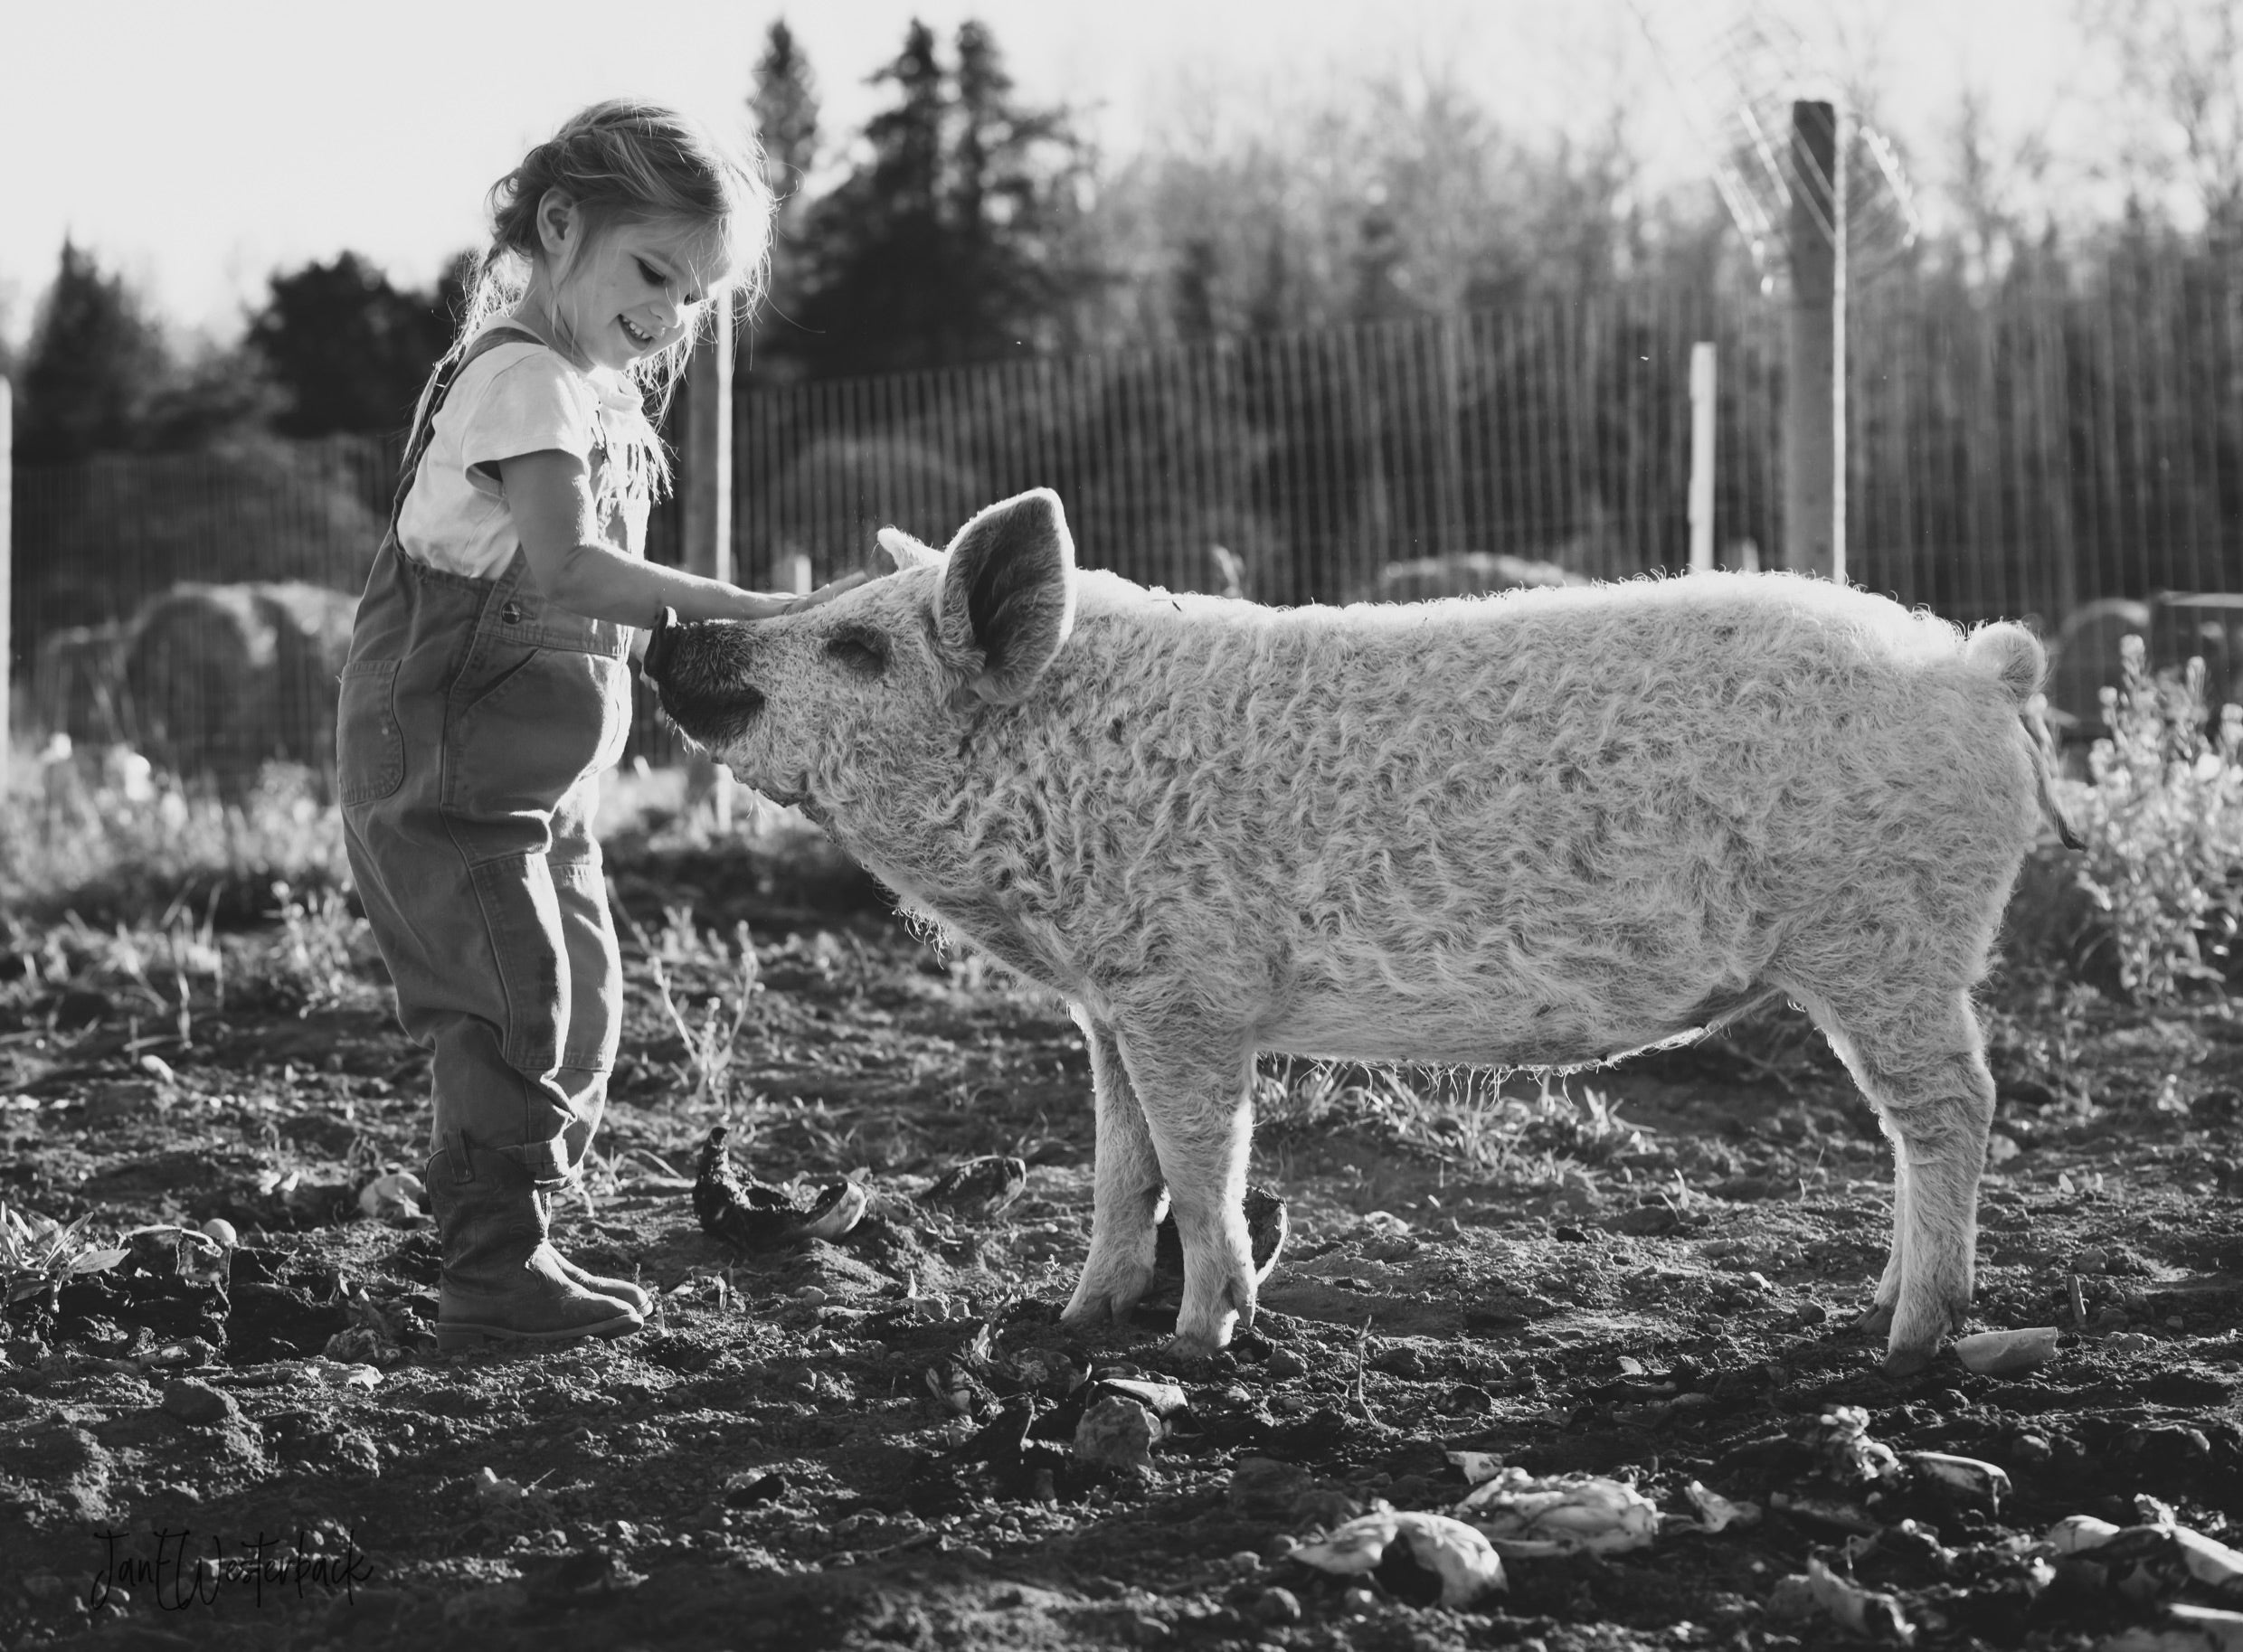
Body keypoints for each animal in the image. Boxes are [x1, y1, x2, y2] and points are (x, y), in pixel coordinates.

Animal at [646, 484, 2063, 1372]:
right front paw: (1074, 1319)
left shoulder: (1188, 994)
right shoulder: (1108, 1006)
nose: (673, 632)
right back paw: (1878, 1307)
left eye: (860, 647)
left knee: (1956, 1107)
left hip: (1887, 944)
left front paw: (1201, 1341)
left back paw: (1909, 1340)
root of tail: (1979, 666)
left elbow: (1202, 1164)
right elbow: (1118, 1167)